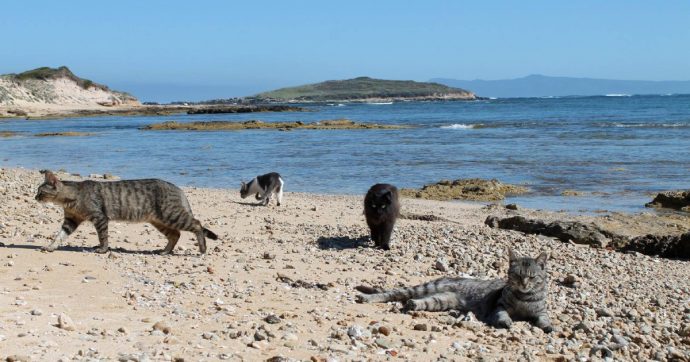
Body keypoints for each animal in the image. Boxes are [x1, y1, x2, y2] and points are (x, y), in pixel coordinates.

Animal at [35, 170, 216, 253]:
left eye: (41, 192)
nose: (35, 197)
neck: (71, 199)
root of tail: (177, 187)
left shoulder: (100, 217)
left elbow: (103, 236)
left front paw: (102, 249)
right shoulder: (71, 220)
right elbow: (59, 235)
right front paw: (51, 246)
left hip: (171, 215)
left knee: (197, 224)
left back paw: (202, 249)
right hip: (160, 221)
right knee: (175, 234)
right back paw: (164, 251)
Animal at [354, 249, 552, 330]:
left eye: (532, 277)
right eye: (518, 276)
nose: (524, 284)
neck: (523, 298)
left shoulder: (541, 311)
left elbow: (544, 318)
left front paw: (548, 326)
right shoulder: (499, 305)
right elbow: (503, 314)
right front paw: (506, 322)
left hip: (440, 300)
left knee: (419, 301)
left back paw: (412, 305)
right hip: (422, 289)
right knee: (392, 293)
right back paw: (366, 298)